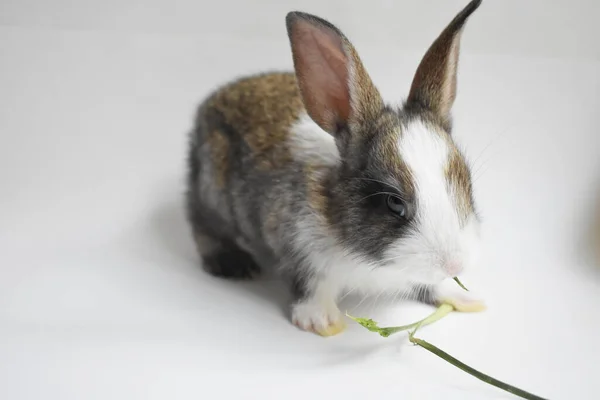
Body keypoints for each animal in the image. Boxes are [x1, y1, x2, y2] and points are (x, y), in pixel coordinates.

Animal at [185, 0, 486, 336]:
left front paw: (463, 298)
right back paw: (232, 263)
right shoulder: (300, 249)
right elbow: (311, 286)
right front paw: (322, 322)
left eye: (467, 184)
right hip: (211, 193)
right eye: (394, 203)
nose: (454, 265)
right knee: (202, 223)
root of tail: (210, 103)